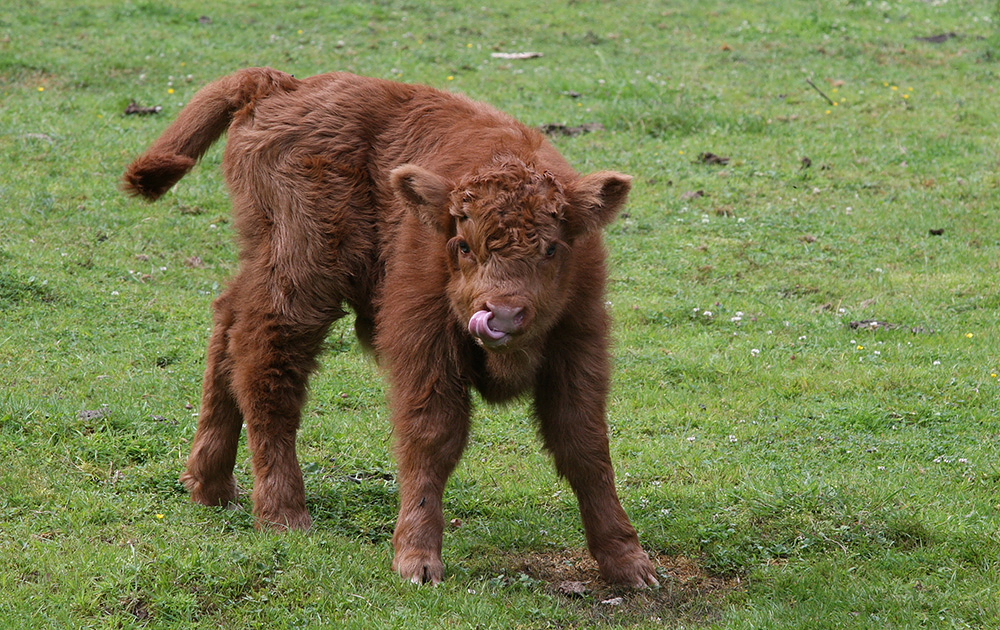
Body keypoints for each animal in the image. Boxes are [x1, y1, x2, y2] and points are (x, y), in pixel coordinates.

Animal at [123, 68, 656, 588]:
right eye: (463, 245)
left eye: (551, 247)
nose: (503, 313)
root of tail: (281, 84)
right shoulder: (421, 338)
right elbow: (432, 436)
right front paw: (417, 558)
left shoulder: (580, 340)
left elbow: (584, 443)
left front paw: (628, 561)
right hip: (300, 278)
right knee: (265, 366)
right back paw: (282, 513)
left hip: (264, 262)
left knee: (228, 327)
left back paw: (210, 485)